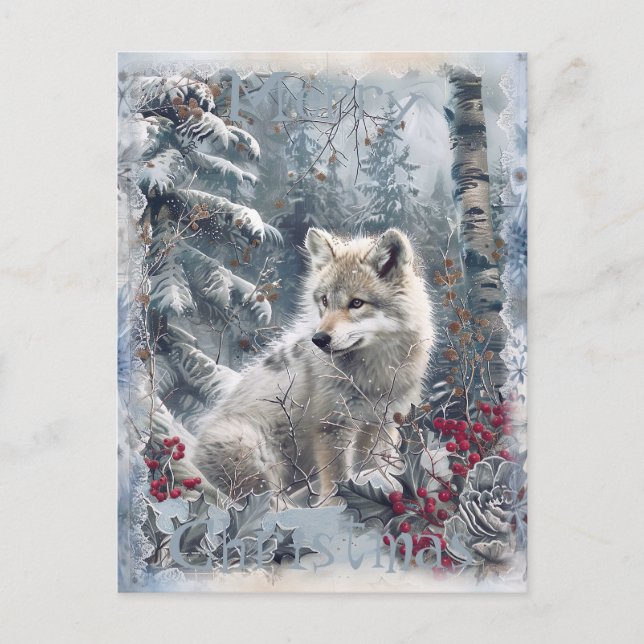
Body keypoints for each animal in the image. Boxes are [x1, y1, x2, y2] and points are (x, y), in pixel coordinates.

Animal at [194, 227, 435, 502]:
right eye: (325, 301)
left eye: (356, 303)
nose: (319, 339)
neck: (375, 377)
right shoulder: (332, 428)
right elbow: (337, 481)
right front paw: (336, 506)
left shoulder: (381, 425)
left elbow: (373, 467)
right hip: (252, 451)